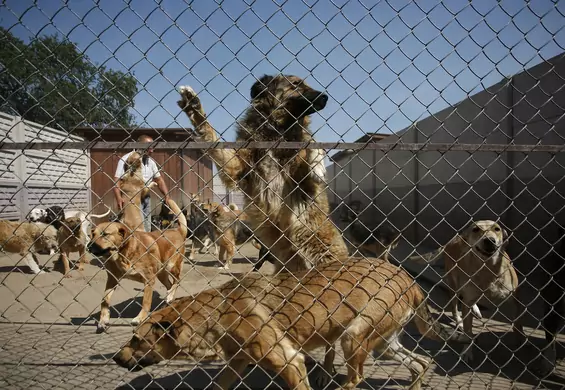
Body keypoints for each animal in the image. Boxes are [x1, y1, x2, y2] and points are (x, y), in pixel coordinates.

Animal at [86, 198, 187, 332]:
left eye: (105, 234)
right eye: (93, 234)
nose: (88, 247)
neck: (124, 255)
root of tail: (177, 230)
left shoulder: (149, 280)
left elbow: (146, 301)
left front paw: (140, 318)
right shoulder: (112, 279)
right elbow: (104, 300)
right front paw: (103, 320)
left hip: (171, 266)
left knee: (177, 280)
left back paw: (170, 296)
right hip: (161, 273)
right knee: (169, 285)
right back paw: (168, 301)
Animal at [113, 258, 468, 390]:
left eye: (137, 339)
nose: (116, 358)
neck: (217, 312)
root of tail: (409, 278)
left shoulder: (289, 361)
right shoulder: (236, 364)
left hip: (353, 338)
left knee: (355, 379)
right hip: (384, 345)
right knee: (422, 362)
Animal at [176, 75, 348, 272]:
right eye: (296, 84)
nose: (326, 97)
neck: (276, 130)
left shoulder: (303, 182)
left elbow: (312, 142)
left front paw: (317, 165)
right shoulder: (237, 166)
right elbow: (212, 136)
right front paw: (194, 107)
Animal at [410, 219, 524, 362]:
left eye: (496, 229)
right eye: (476, 229)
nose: (490, 240)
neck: (488, 269)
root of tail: (454, 239)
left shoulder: (515, 299)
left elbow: (518, 322)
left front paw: (521, 339)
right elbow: (468, 331)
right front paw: (467, 351)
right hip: (454, 286)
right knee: (456, 309)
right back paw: (460, 323)